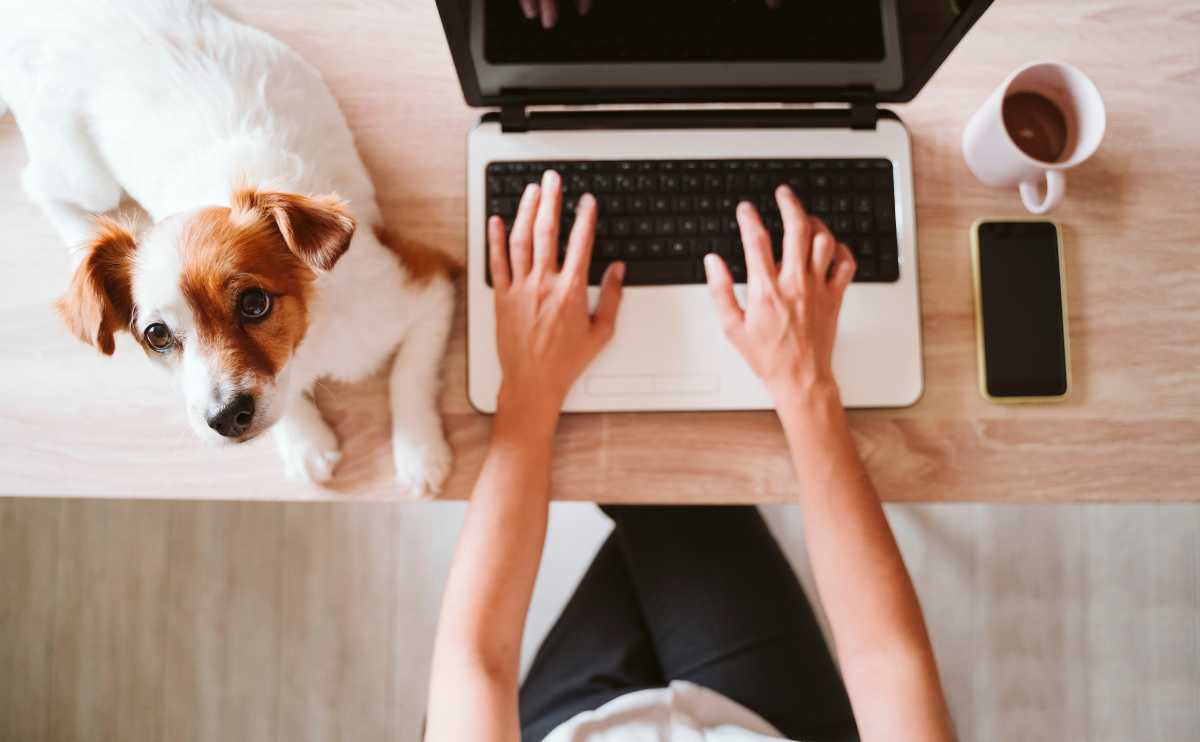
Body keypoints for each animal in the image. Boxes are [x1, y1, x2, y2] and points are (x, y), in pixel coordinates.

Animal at [0, 2, 456, 494]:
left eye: (254, 303)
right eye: (157, 335)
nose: (226, 418)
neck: (309, 340)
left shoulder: (427, 286)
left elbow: (407, 377)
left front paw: (419, 453)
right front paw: (304, 441)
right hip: (85, 174)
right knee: (40, 184)